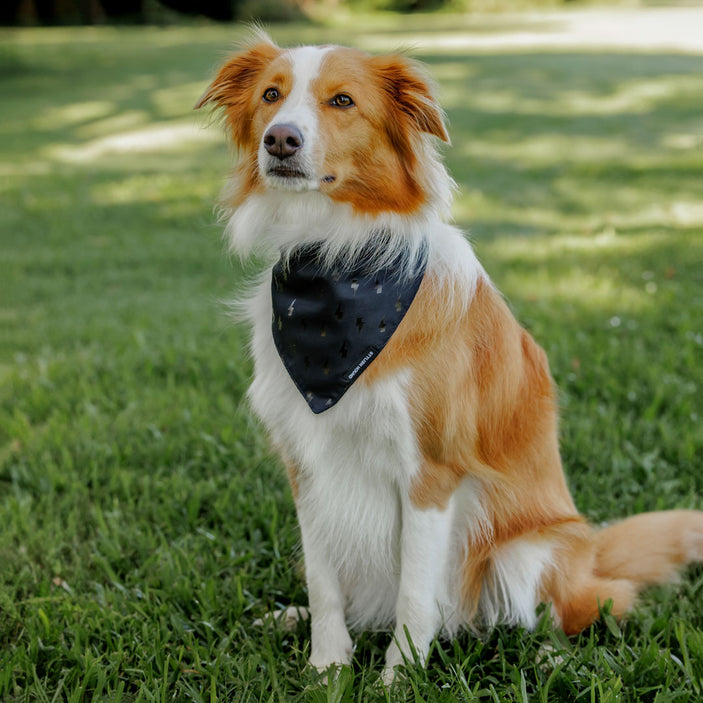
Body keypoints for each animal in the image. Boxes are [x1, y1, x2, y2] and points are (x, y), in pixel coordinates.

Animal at [198, 31, 703, 680]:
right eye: (270, 95)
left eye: (342, 100)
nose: (280, 139)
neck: (334, 258)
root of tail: (588, 549)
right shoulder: (307, 465)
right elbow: (323, 580)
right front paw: (327, 667)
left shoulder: (429, 473)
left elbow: (415, 593)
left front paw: (398, 679)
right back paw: (290, 617)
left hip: (525, 550)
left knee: (583, 606)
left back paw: (550, 656)